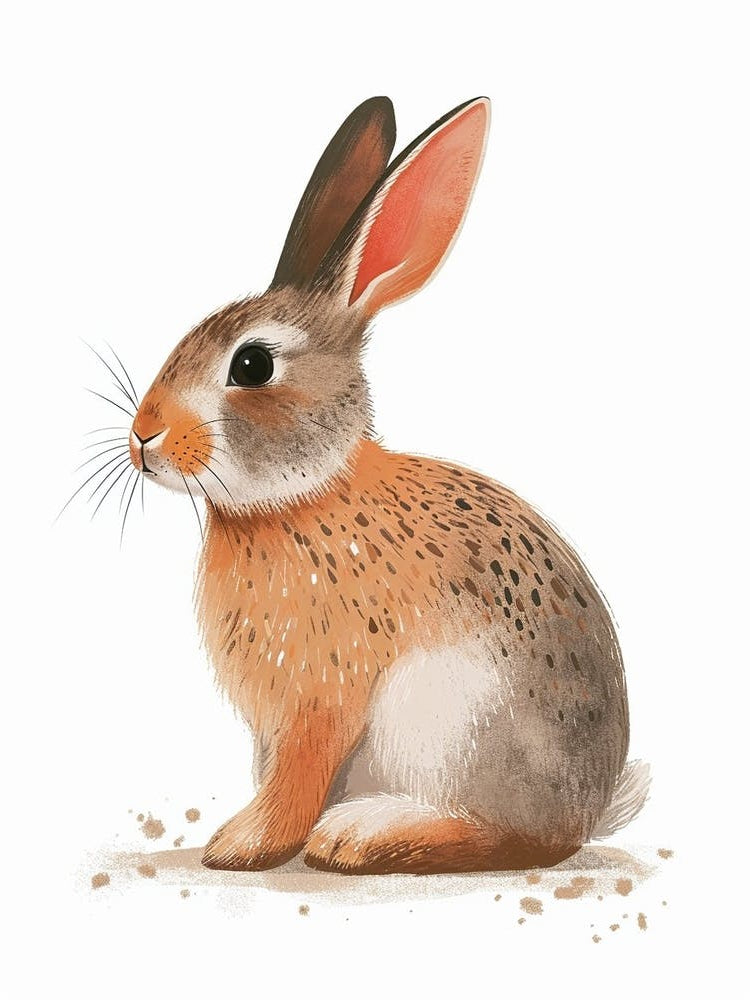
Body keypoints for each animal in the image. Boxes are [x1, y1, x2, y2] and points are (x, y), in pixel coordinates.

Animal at [127, 95, 649, 874]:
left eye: (252, 365)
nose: (144, 437)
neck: (302, 495)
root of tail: (585, 815)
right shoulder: (274, 725)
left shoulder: (317, 701)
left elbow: (297, 777)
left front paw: (242, 845)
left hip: (455, 718)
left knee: (501, 837)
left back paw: (364, 834)